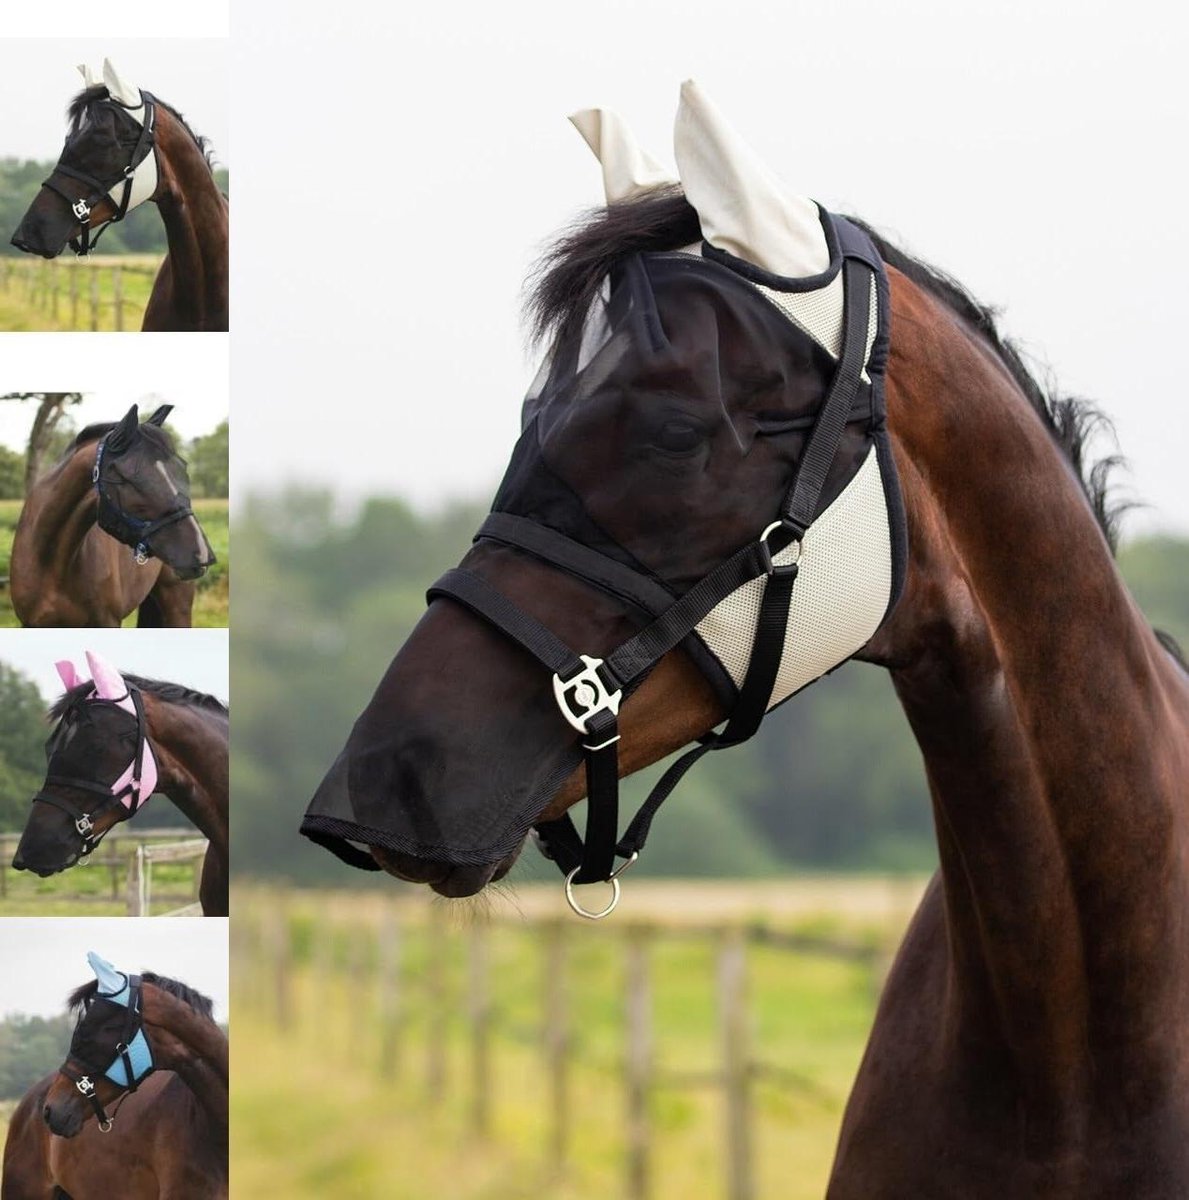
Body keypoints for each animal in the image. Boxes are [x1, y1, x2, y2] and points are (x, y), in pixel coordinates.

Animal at [10, 404, 216, 628]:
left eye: (183, 469)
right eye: (130, 478)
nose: (201, 554)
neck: (52, 562)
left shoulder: (107, 622)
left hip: (177, 603)